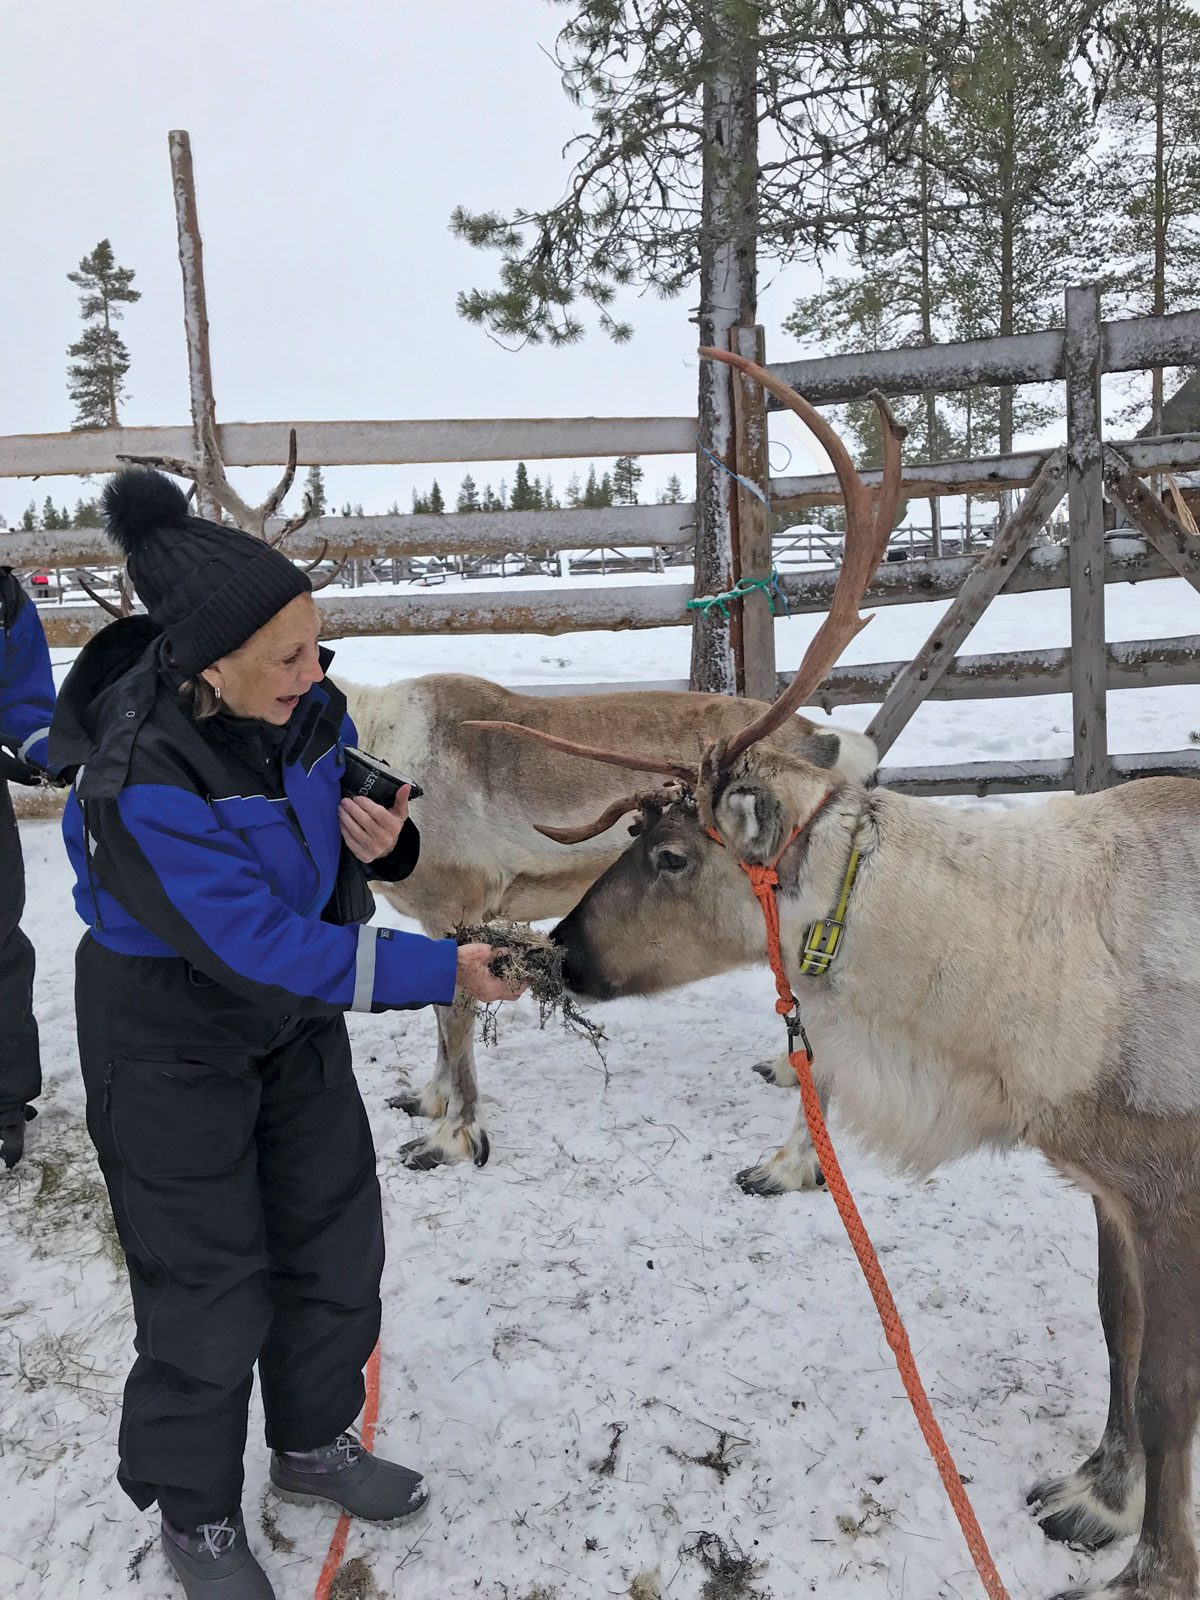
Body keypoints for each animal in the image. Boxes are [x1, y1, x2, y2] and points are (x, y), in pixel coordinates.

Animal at [470, 348, 1200, 1600]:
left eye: (671, 856)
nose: (560, 951)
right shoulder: (1108, 1181)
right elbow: (1117, 1334)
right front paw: (1100, 1494)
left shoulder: (1172, 1182)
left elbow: (1165, 1385)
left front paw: (1151, 1567)